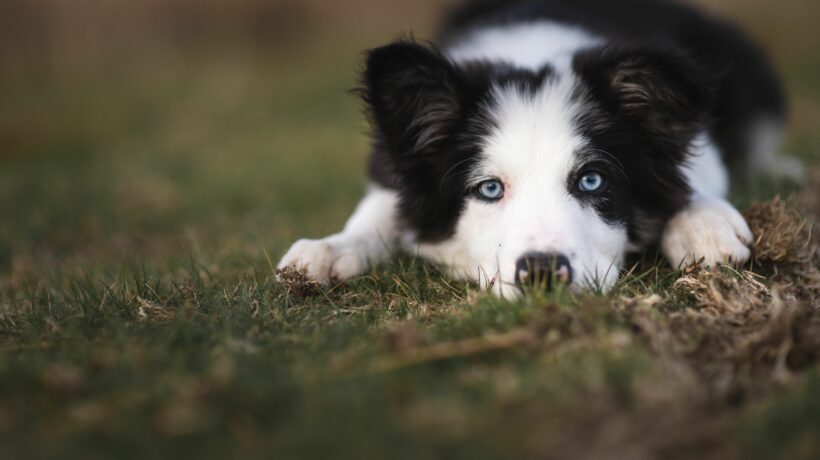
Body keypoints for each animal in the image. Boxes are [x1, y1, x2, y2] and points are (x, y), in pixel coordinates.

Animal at [278, 0, 800, 298]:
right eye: (489, 189)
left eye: (591, 180)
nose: (543, 273)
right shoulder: (394, 161)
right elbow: (382, 209)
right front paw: (328, 251)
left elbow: (693, 173)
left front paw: (702, 223)